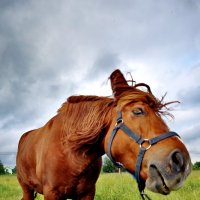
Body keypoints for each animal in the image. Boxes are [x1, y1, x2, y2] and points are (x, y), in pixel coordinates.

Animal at [16, 69, 191, 200]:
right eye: (138, 111)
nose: (182, 162)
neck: (70, 152)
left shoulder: (87, 194)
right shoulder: (51, 194)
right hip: (26, 189)